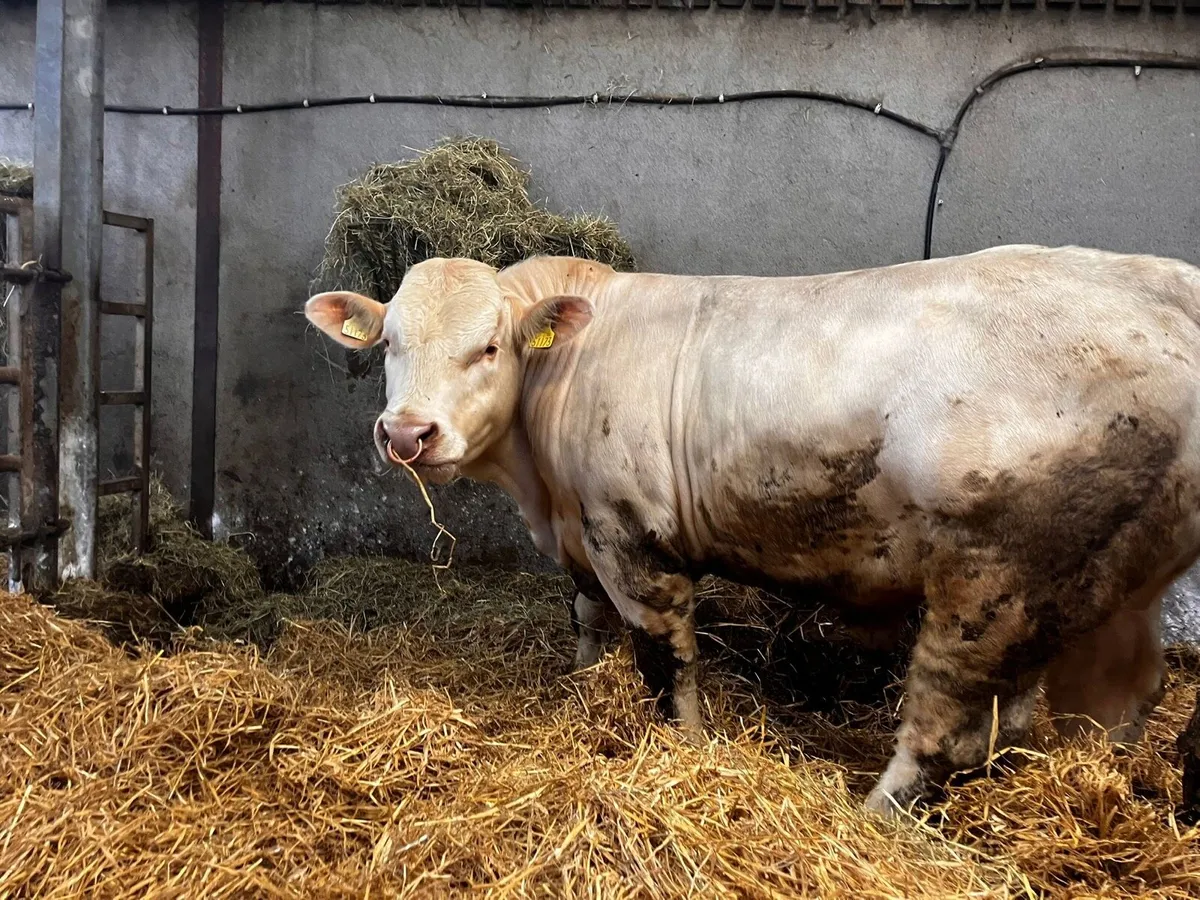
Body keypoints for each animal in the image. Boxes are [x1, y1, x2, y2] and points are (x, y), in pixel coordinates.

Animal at [305, 245, 1200, 816]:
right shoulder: (582, 537)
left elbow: (665, 664)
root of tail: (1163, 283)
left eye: (489, 347)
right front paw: (581, 690)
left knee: (950, 727)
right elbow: (588, 622)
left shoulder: (632, 538)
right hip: (1113, 580)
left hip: (997, 577)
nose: (407, 434)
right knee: (1114, 699)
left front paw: (687, 748)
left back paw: (869, 819)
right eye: (390, 342)